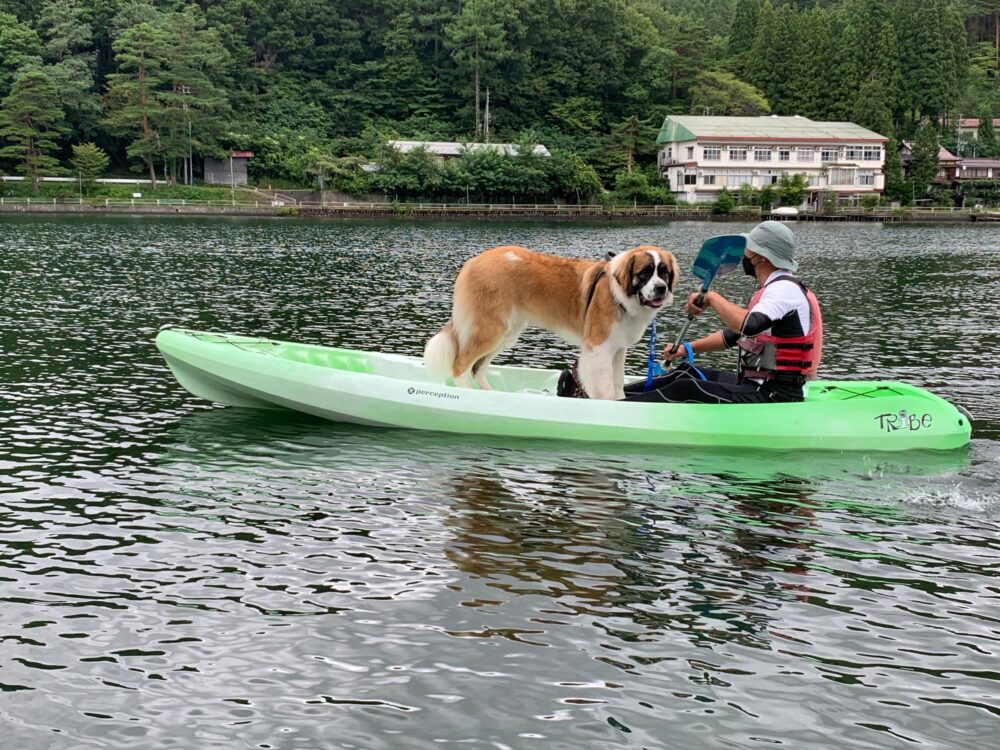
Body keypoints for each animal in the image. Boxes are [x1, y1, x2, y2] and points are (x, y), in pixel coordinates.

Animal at [422, 245, 680, 400]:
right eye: (645, 272)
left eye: (664, 272)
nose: (661, 288)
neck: (619, 292)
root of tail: (473, 262)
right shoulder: (599, 348)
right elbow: (605, 385)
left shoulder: (617, 349)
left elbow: (617, 381)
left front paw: (620, 401)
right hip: (490, 329)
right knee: (460, 365)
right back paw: (468, 394)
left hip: (505, 333)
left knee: (478, 368)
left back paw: (492, 394)